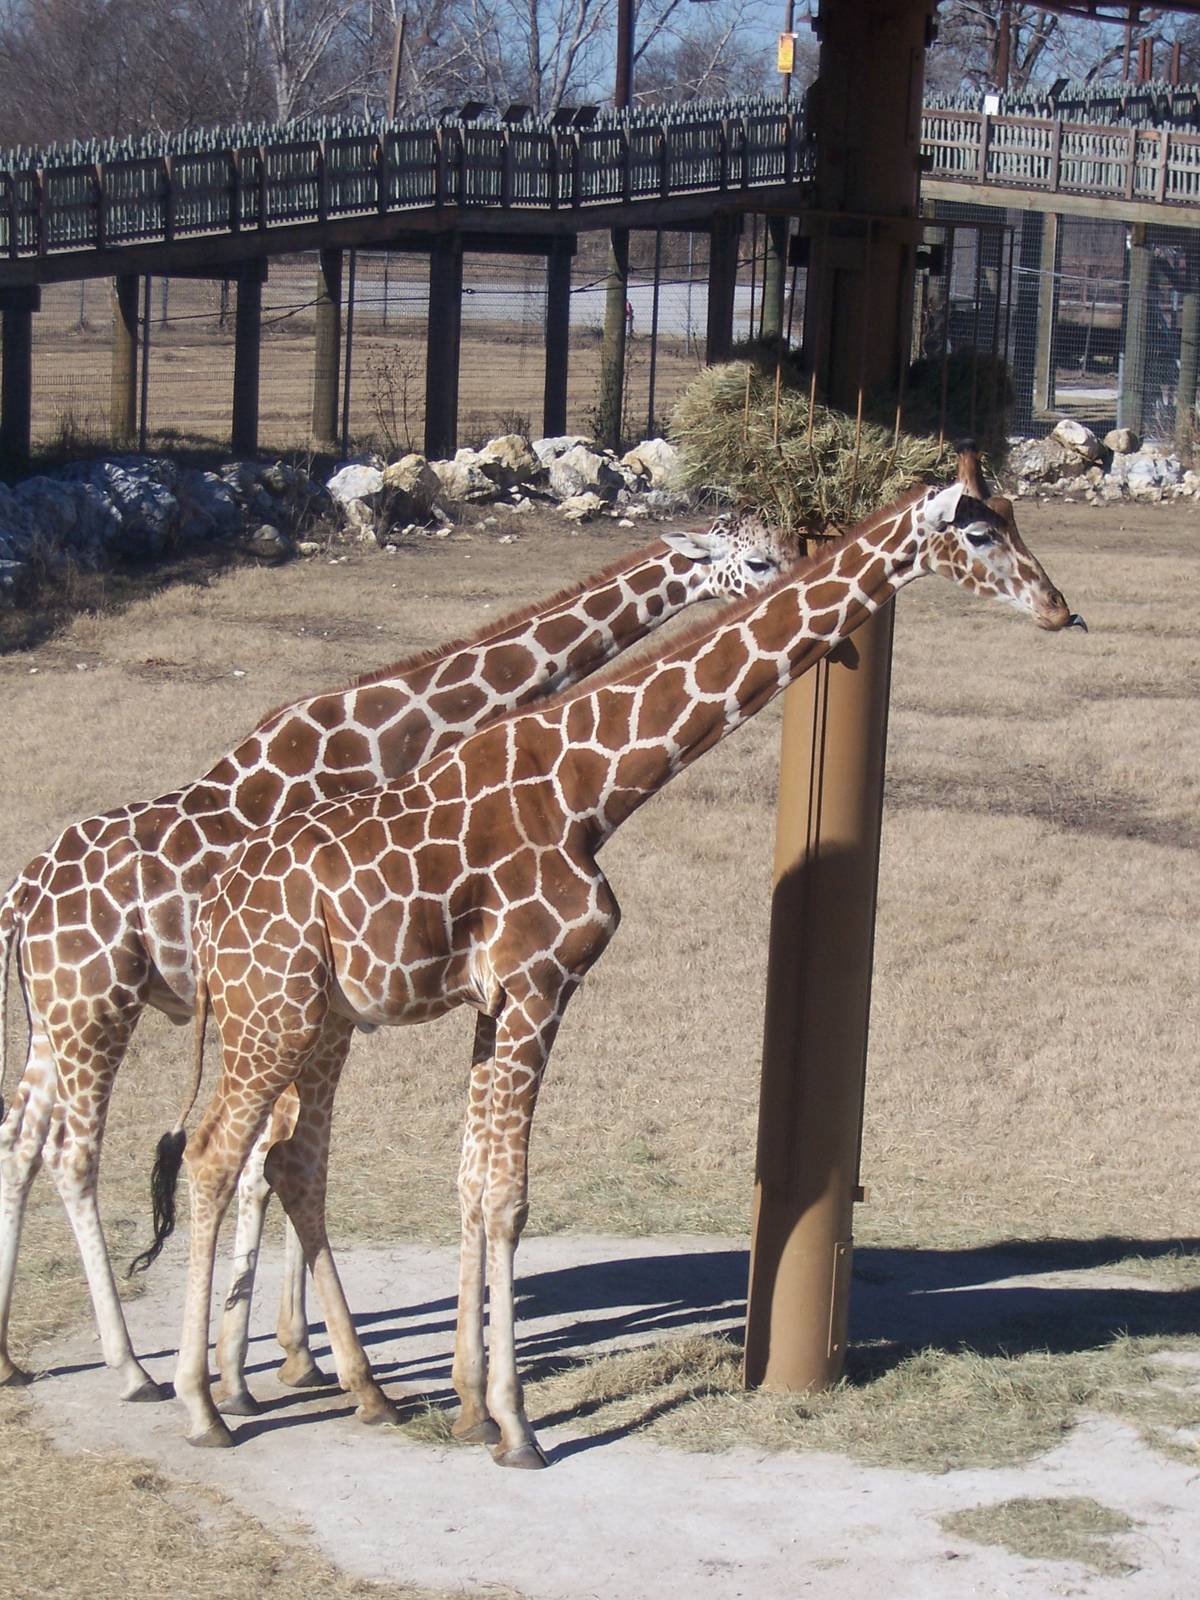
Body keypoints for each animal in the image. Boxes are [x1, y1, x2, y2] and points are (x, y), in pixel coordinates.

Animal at [0, 516, 794, 1403]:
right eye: (756, 558)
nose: (794, 572)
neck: (393, 736)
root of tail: (21, 896)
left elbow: (279, 1163)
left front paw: (281, 1357)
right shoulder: (319, 1001)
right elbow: (272, 1165)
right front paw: (264, 1365)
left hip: (53, 1017)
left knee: (18, 1142)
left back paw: (12, 1359)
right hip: (97, 1005)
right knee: (73, 1154)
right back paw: (134, 1367)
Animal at [165, 453, 1085, 1459]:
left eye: (1019, 519)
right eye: (981, 532)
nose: (1060, 611)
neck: (589, 789)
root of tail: (211, 914)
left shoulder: (494, 1001)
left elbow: (469, 1178)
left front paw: (466, 1402)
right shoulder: (542, 983)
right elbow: (509, 1196)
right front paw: (517, 1426)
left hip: (306, 1016)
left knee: (271, 1160)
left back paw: (298, 1387)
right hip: (278, 1014)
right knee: (214, 1157)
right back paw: (206, 1406)